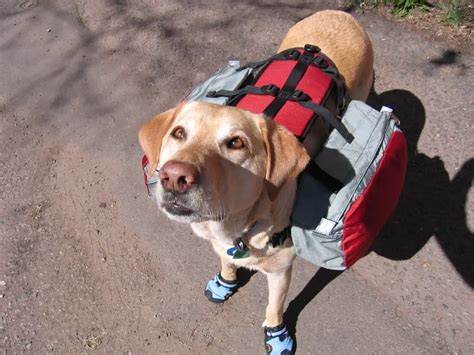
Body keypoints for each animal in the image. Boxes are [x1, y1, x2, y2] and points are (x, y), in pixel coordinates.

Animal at [139, 9, 372, 354]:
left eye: (236, 143)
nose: (175, 176)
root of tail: (339, 14)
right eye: (178, 133)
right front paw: (226, 281)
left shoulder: (281, 270)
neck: (236, 227)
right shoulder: (219, 243)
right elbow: (227, 263)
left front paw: (276, 334)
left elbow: (274, 308)